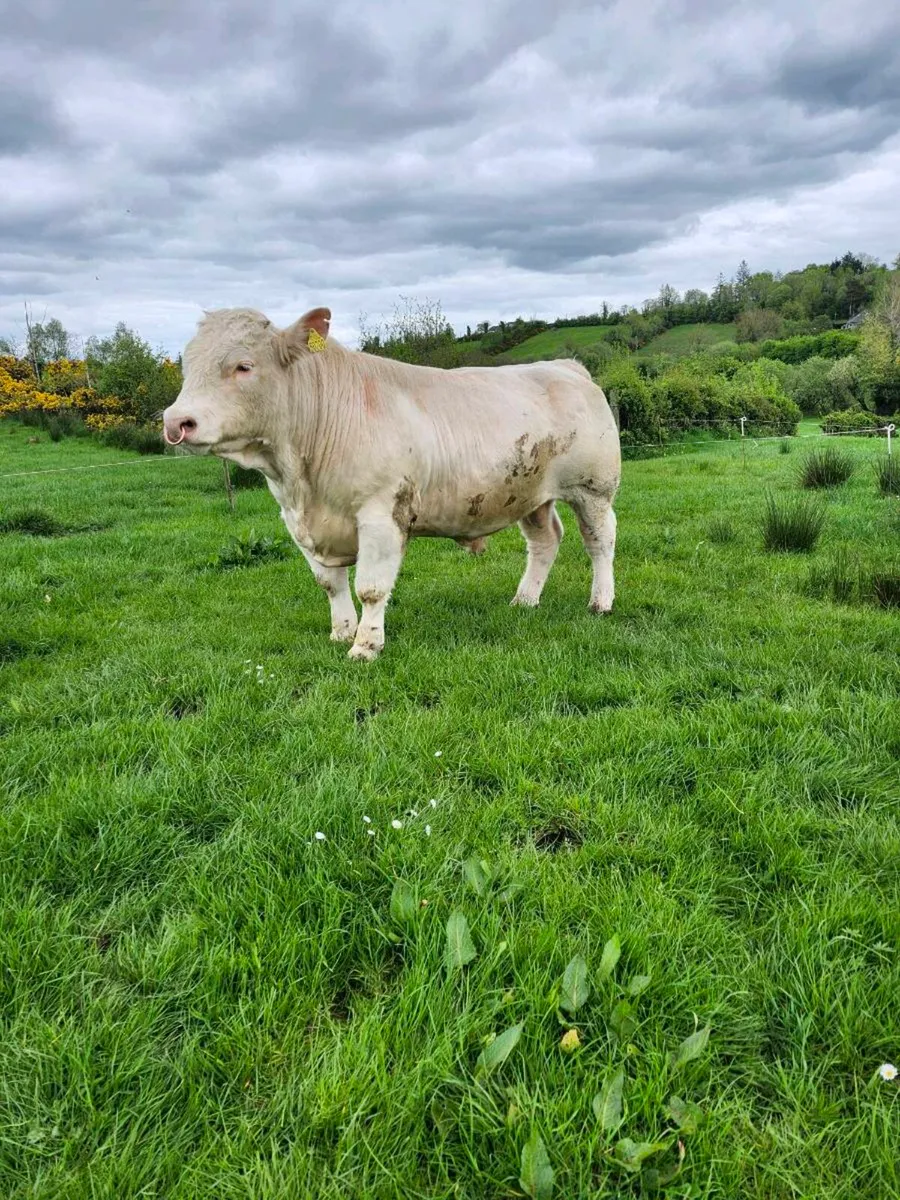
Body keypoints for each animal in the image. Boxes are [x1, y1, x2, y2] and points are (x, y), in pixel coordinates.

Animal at [163, 306, 621, 661]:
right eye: (187, 366)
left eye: (243, 366)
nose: (176, 421)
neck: (302, 481)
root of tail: (565, 366)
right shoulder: (295, 521)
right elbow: (329, 584)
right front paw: (341, 632)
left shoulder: (381, 515)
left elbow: (370, 588)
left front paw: (365, 646)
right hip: (529, 494)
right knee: (545, 541)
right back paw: (524, 600)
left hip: (593, 488)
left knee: (600, 541)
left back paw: (601, 602)